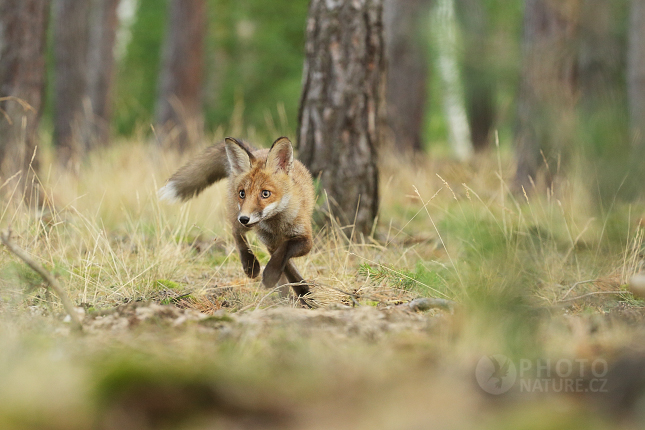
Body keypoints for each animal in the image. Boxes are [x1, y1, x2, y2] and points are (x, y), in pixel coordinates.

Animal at [158, 136, 314, 304]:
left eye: (265, 193)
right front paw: (294, 288)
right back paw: (250, 264)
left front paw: (294, 287)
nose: (244, 218)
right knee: (236, 232)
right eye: (242, 193)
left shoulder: (304, 239)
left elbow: (285, 255)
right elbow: (286, 264)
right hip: (239, 217)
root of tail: (257, 151)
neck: (277, 225)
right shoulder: (270, 242)